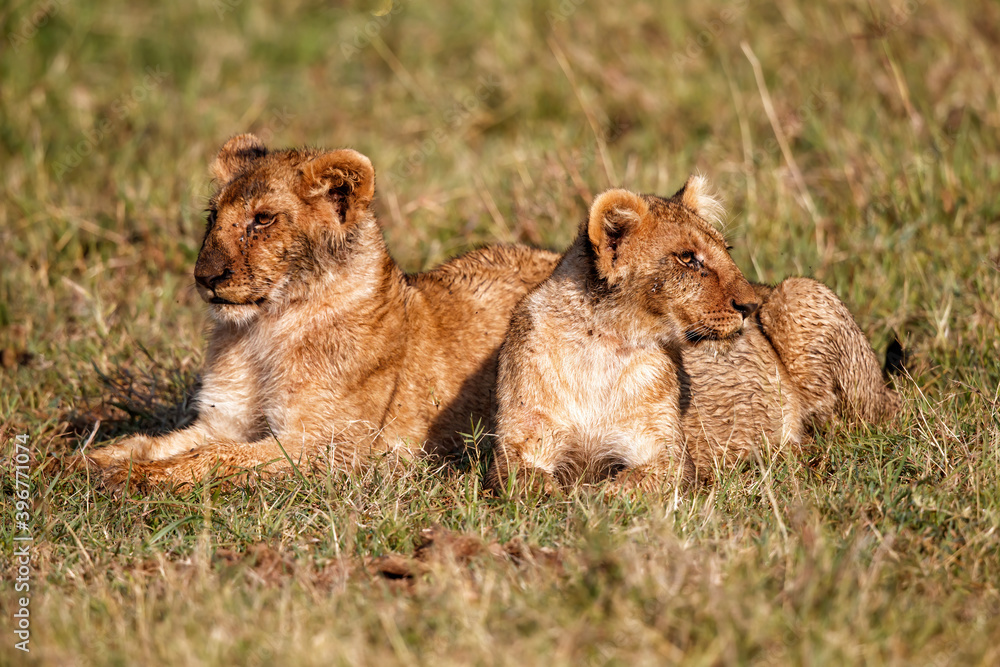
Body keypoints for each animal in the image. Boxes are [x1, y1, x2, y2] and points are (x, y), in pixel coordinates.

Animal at [86, 134, 559, 490]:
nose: (205, 276)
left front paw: (134, 478)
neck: (263, 329)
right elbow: (152, 442)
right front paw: (88, 463)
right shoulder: (224, 421)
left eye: (263, 219)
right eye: (212, 216)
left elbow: (216, 456)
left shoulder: (328, 447)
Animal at [488, 178, 901, 495]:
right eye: (687, 258)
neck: (605, 344)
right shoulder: (519, 444)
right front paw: (560, 496)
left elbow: (628, 485)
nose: (749, 306)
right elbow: (524, 482)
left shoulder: (667, 453)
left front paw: (590, 498)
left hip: (798, 293)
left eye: (726, 249)